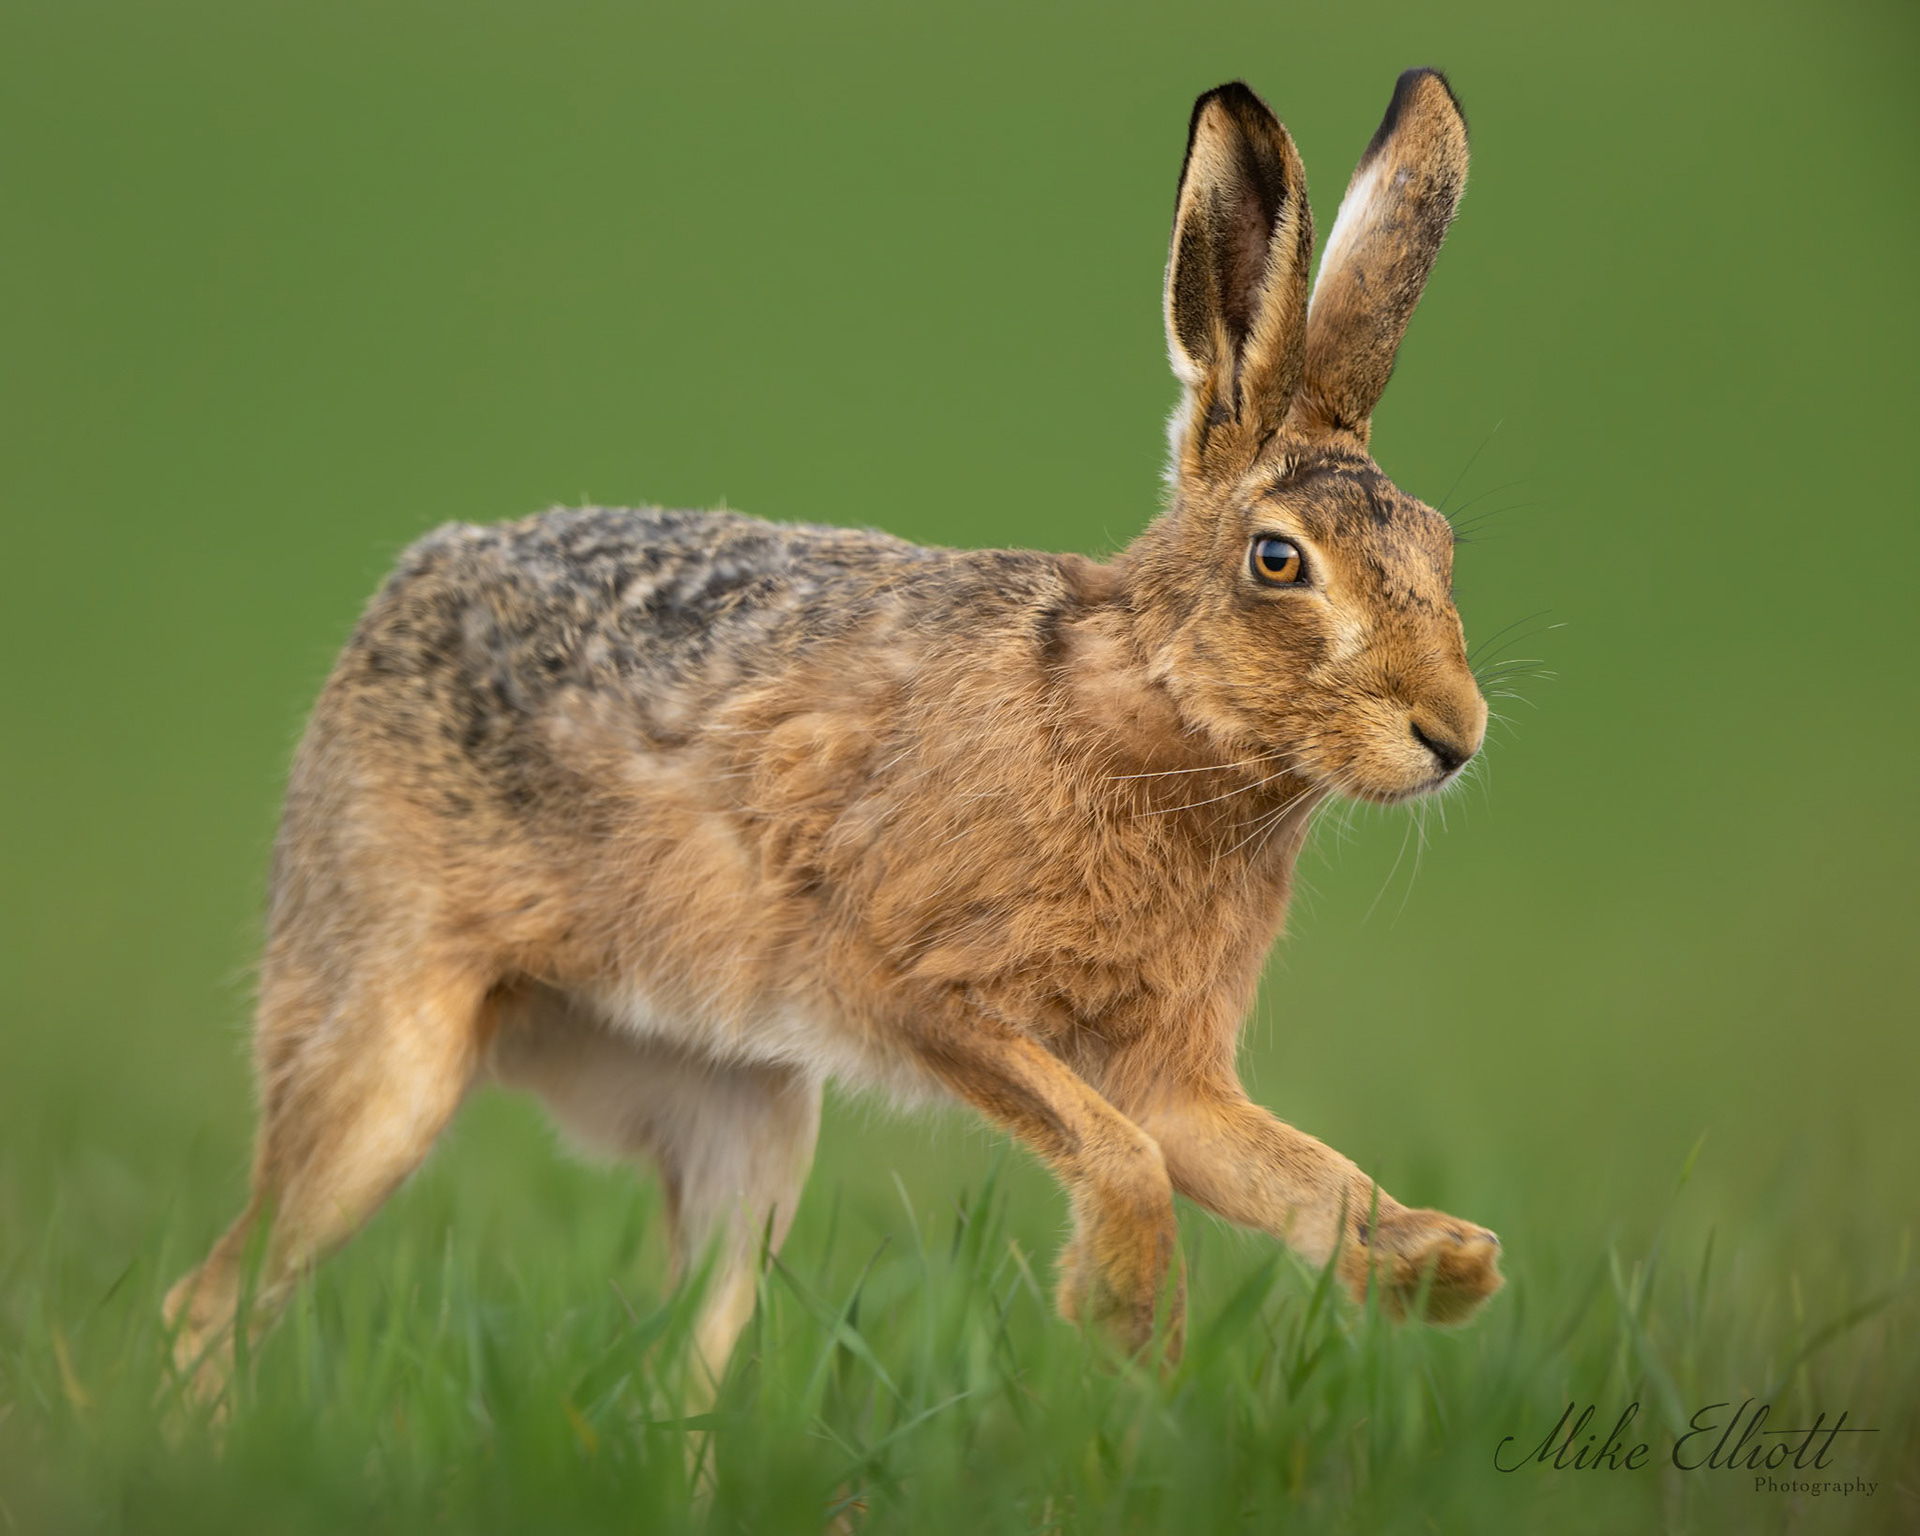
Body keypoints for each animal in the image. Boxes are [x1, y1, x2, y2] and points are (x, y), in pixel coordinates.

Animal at [164, 68, 1503, 1404]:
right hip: (392, 1045)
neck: (1150, 708)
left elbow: (1294, 1172)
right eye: (1279, 561)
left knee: (687, 1350)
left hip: (742, 1114)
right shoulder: (913, 987)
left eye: (1441, 546)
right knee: (214, 1300)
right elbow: (1118, 1151)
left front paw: (1443, 1267)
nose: (1454, 735)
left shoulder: (1166, 1070)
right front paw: (1129, 1318)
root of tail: (388, 607)